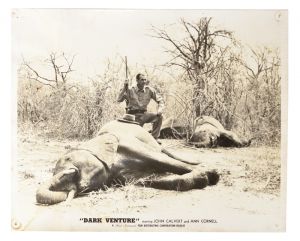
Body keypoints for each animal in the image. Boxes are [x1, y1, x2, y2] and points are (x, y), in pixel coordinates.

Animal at [36, 114, 219, 204]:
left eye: (68, 157)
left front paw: (212, 174)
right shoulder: (120, 176)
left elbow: (163, 162)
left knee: (164, 153)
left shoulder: (128, 144)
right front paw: (203, 178)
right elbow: (149, 179)